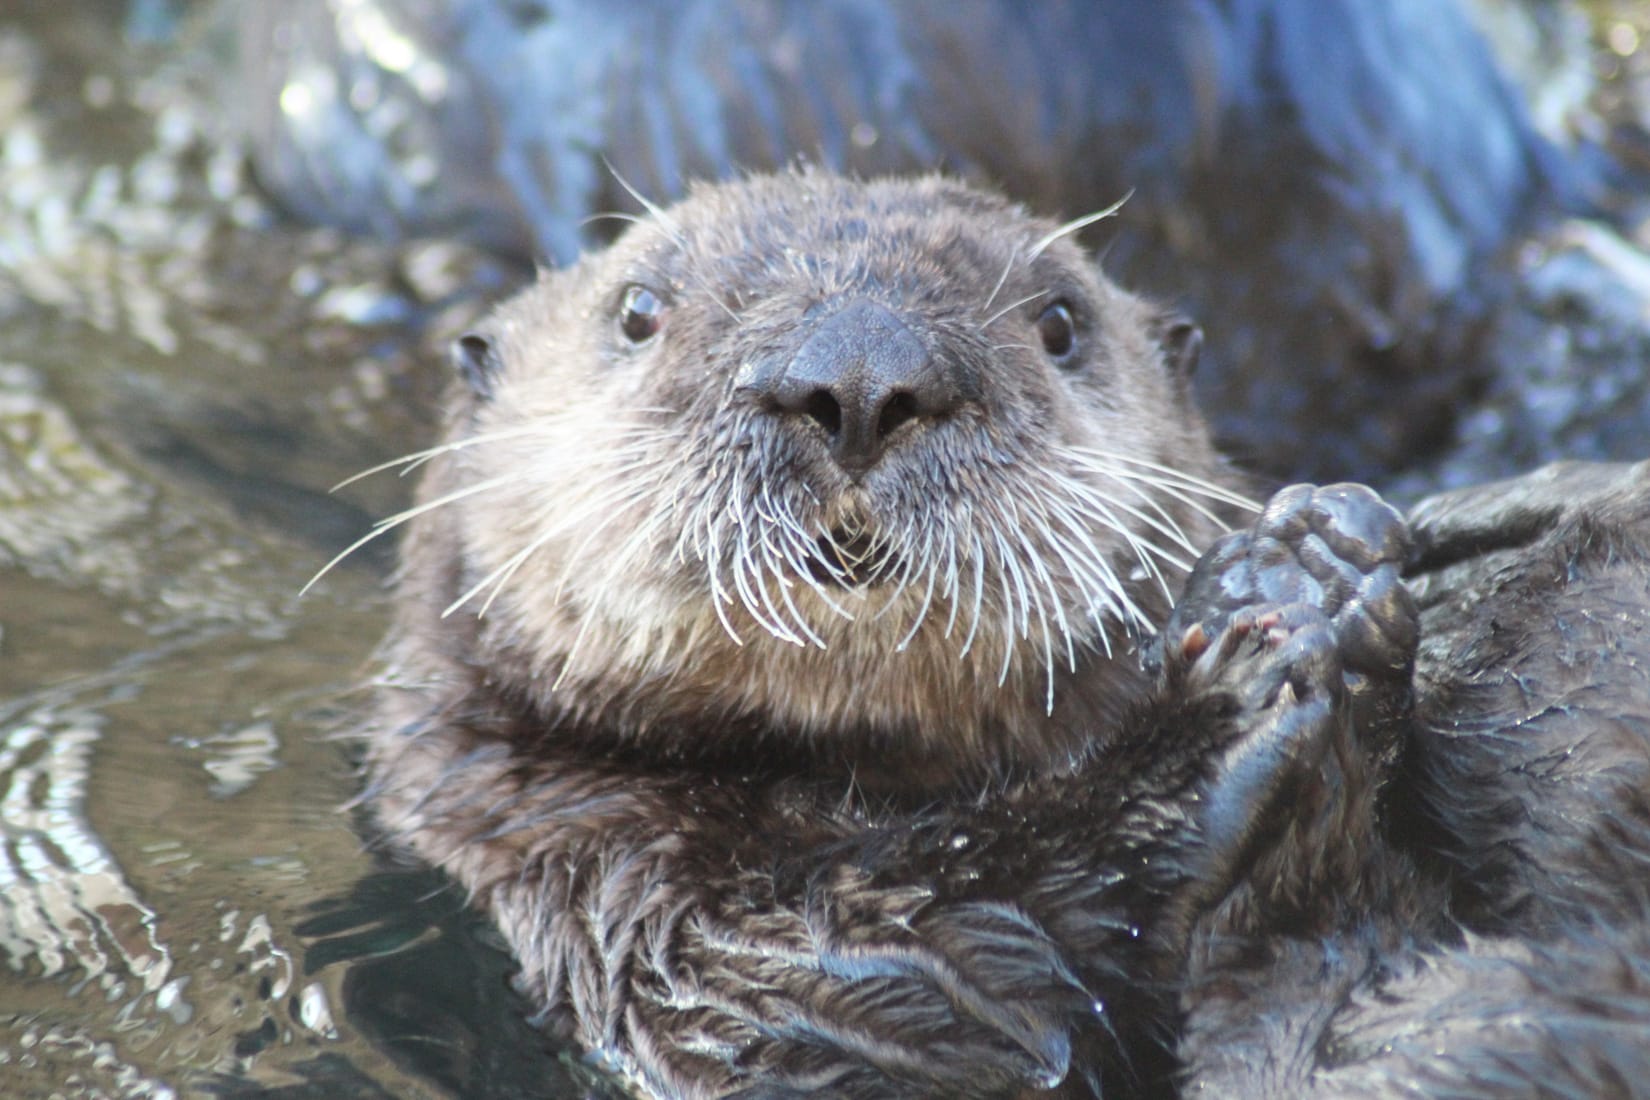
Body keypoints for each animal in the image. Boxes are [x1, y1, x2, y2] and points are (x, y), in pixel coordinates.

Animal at [351, 169, 1650, 1095]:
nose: (856, 370)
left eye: (1061, 322)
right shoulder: (639, 902)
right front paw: (1253, 652)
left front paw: (1355, 547)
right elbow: (958, 967)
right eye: (637, 312)